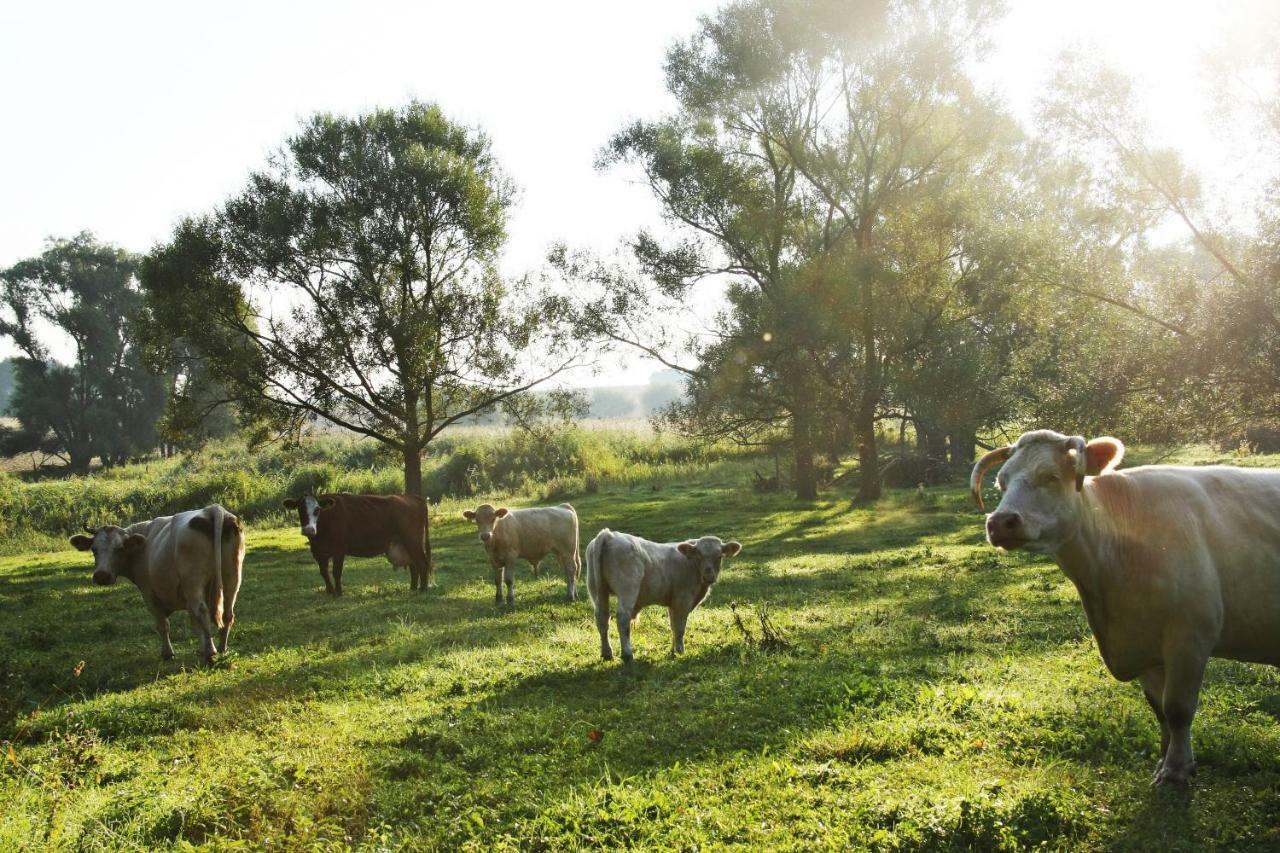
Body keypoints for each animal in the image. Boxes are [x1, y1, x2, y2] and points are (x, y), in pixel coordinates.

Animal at [281, 491, 430, 591]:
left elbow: (336, 572)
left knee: (422, 563)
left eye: (317, 509)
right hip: (405, 544)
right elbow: (324, 573)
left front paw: (339, 593)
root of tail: (413, 497)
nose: (309, 530)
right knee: (414, 565)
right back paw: (412, 588)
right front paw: (330, 592)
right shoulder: (318, 552)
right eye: (300, 509)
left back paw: (422, 589)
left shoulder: (339, 550)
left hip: (413, 541)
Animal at [583, 527, 742, 660]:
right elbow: (679, 627)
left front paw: (673, 651)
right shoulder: (682, 600)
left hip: (597, 590)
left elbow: (673, 626)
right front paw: (680, 651)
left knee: (602, 619)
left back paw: (607, 653)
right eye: (698, 555)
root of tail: (609, 534)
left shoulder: (673, 603)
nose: (709, 576)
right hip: (627, 590)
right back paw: (627, 654)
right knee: (622, 618)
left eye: (719, 556)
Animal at [967, 427, 1280, 778]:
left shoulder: (1190, 637)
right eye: (1002, 482)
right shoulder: (1143, 647)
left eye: (1051, 476)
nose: (999, 522)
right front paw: (1164, 758)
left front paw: (1175, 769)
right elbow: (1160, 710)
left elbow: (1178, 708)